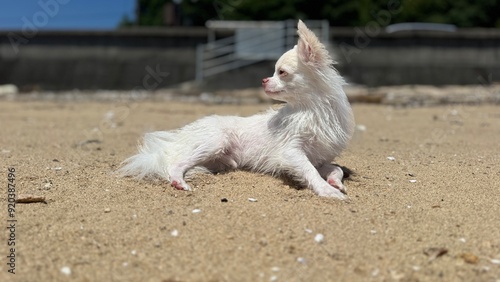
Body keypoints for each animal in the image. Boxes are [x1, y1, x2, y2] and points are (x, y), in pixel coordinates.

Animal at [119, 19, 356, 198]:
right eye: (275, 71)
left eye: (282, 72)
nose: (263, 80)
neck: (310, 110)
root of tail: (178, 138)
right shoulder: (291, 153)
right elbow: (310, 171)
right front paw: (327, 190)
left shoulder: (317, 158)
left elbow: (335, 167)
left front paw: (335, 182)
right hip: (215, 140)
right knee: (175, 163)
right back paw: (178, 181)